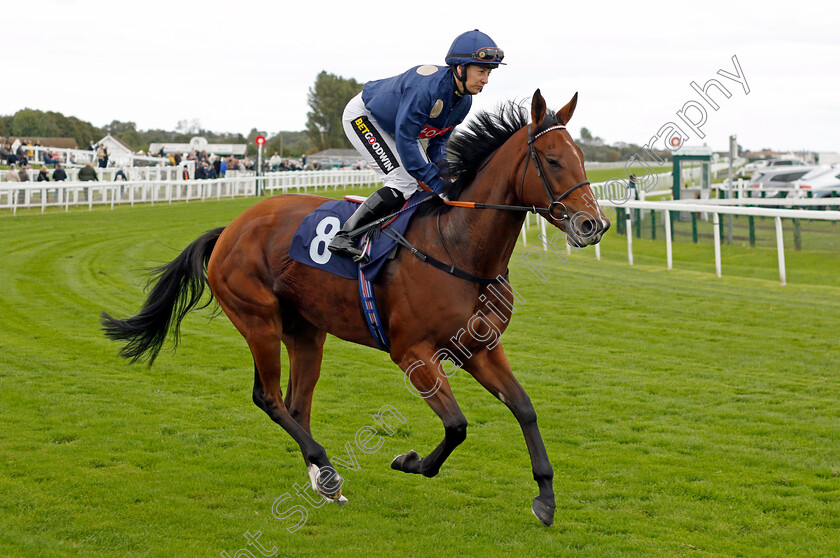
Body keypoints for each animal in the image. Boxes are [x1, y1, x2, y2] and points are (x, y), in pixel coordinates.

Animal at [100, 89, 612, 528]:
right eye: (552, 161)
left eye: (582, 158)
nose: (594, 224)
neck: (458, 248)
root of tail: (230, 228)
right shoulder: (413, 353)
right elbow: (457, 425)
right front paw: (409, 460)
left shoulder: (480, 346)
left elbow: (524, 408)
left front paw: (545, 498)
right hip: (257, 321)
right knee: (269, 398)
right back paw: (326, 471)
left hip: (306, 331)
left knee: (296, 402)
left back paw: (323, 481)